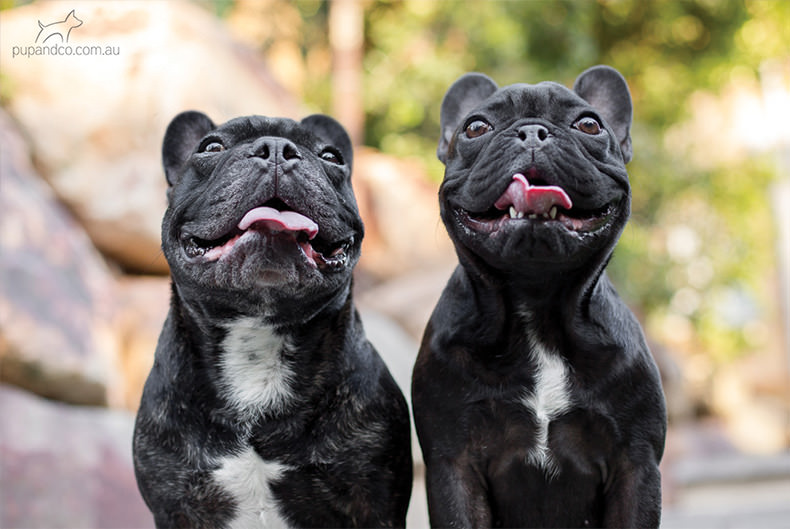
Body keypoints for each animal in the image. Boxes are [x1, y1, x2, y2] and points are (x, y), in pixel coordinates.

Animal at [132, 109, 412, 524]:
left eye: (331, 157)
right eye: (210, 148)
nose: (277, 148)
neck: (258, 327)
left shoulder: (371, 502)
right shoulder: (175, 504)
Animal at [414, 67, 668, 528]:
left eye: (589, 125)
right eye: (475, 128)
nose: (532, 132)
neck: (536, 300)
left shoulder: (636, 466)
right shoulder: (453, 466)